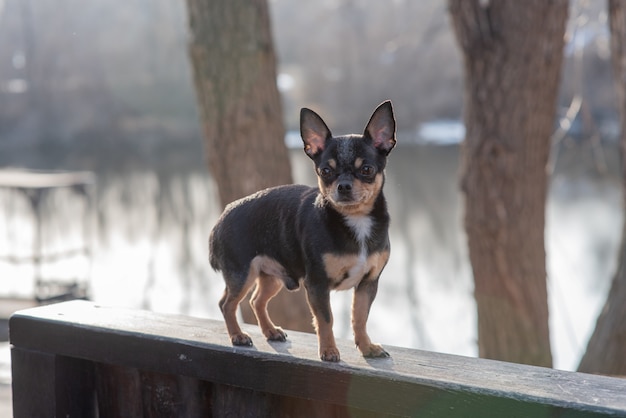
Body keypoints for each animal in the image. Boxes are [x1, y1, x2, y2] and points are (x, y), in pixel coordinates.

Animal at [210, 101, 394, 362]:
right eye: (325, 171)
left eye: (367, 169)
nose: (344, 186)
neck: (355, 220)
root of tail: (222, 216)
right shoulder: (317, 284)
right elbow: (326, 319)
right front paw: (329, 351)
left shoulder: (368, 283)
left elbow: (359, 317)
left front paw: (366, 347)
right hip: (241, 275)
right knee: (226, 304)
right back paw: (238, 336)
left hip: (271, 276)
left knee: (257, 301)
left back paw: (270, 331)